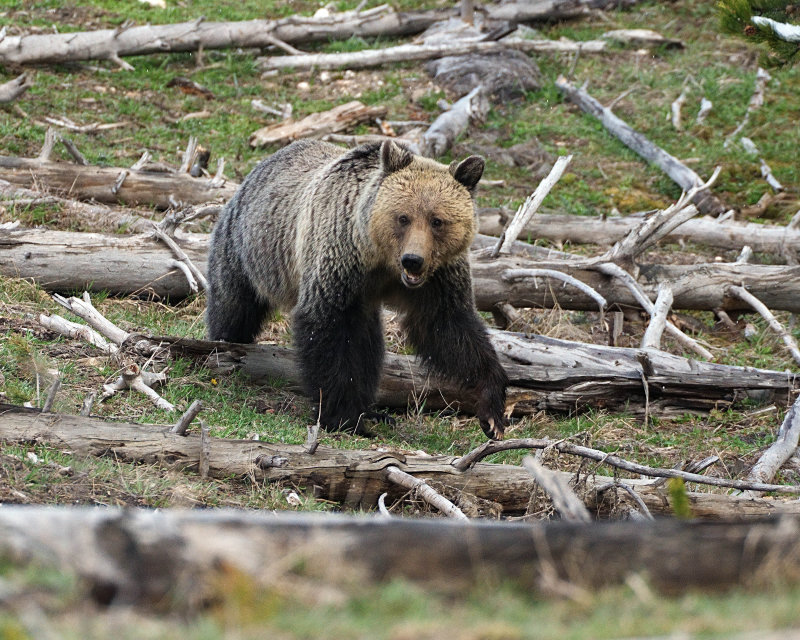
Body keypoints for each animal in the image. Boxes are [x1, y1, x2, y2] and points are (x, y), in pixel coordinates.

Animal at [205, 140, 506, 440]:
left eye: (437, 220)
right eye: (403, 217)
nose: (413, 260)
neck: (381, 260)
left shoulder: (437, 280)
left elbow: (450, 329)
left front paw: (492, 411)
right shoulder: (340, 259)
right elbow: (329, 331)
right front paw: (343, 417)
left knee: (370, 345)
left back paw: (373, 411)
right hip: (249, 251)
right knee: (233, 308)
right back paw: (223, 347)